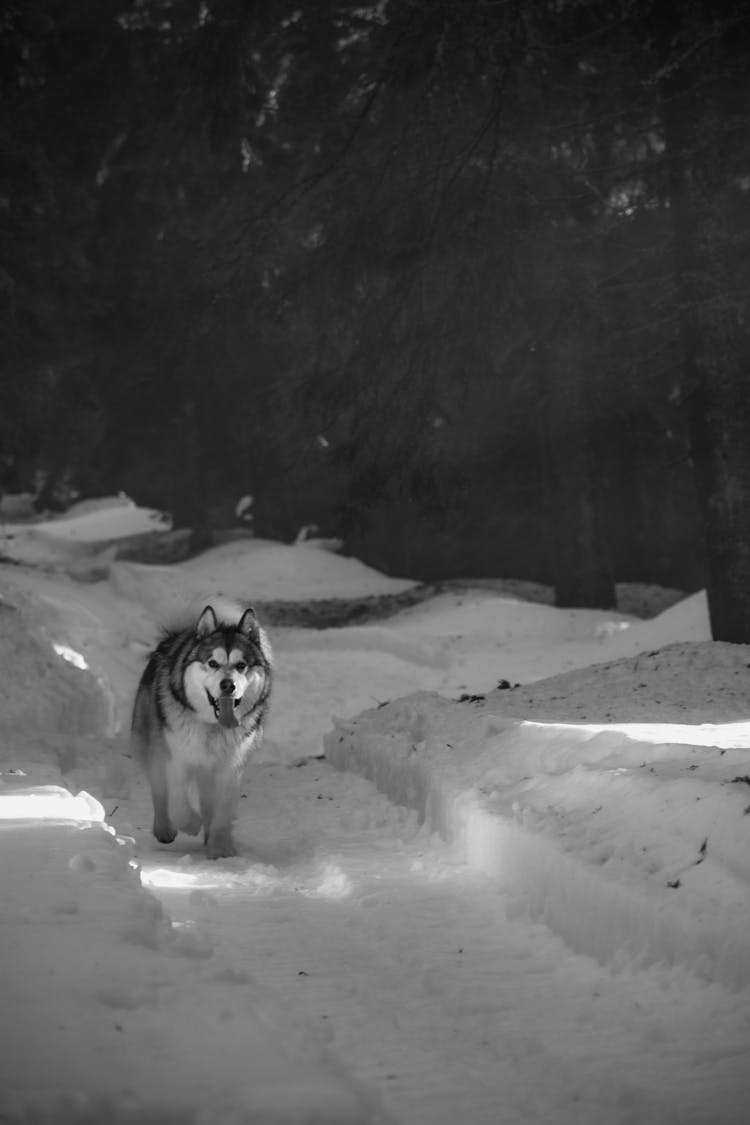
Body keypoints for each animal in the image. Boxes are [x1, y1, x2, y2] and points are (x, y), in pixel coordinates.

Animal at [133, 607, 274, 859]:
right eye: (212, 663)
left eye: (241, 665)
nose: (228, 685)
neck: (213, 727)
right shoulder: (177, 759)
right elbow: (178, 804)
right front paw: (190, 824)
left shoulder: (231, 767)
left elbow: (223, 810)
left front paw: (221, 846)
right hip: (154, 745)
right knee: (160, 792)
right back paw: (164, 828)